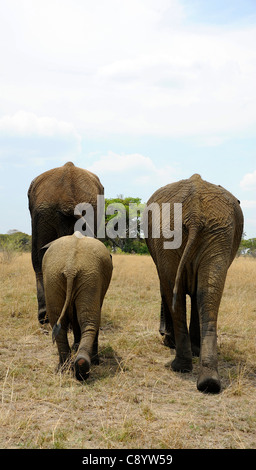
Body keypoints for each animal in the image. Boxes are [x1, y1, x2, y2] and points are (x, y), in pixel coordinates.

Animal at [41, 233, 112, 380]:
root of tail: (70, 267)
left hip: (58, 276)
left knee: (60, 320)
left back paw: (70, 367)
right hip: (83, 276)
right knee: (89, 320)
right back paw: (79, 366)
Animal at [144, 173, 244, 392]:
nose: (162, 334)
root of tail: (194, 211)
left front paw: (168, 341)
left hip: (186, 232)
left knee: (179, 291)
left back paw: (182, 367)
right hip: (217, 232)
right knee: (207, 293)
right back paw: (208, 381)